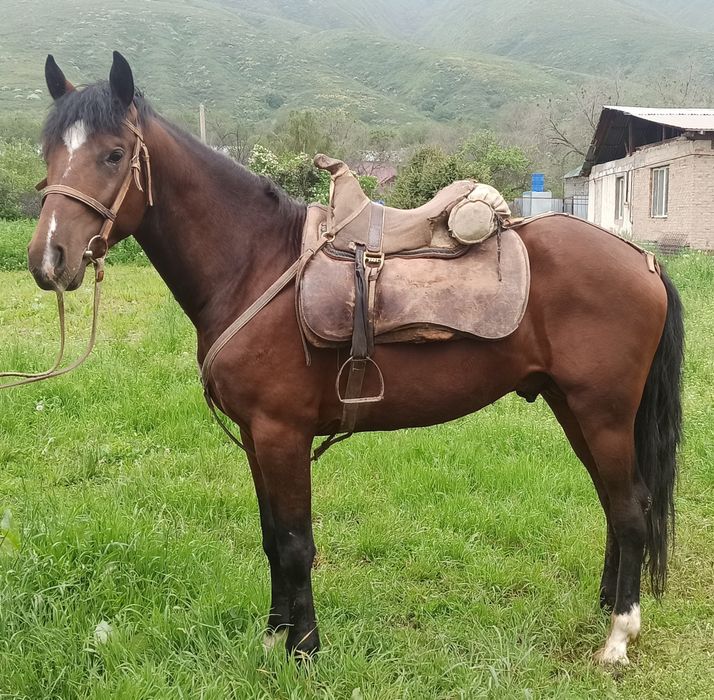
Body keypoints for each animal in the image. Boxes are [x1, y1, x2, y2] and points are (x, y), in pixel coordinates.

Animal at [26, 52, 683, 665]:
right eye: (47, 152)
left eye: (114, 155)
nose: (48, 259)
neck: (254, 263)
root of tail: (642, 260)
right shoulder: (257, 437)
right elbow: (272, 538)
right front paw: (273, 638)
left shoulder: (282, 433)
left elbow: (295, 544)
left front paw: (305, 650)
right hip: (573, 406)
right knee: (615, 502)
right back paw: (608, 605)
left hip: (601, 412)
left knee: (631, 509)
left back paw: (618, 637)